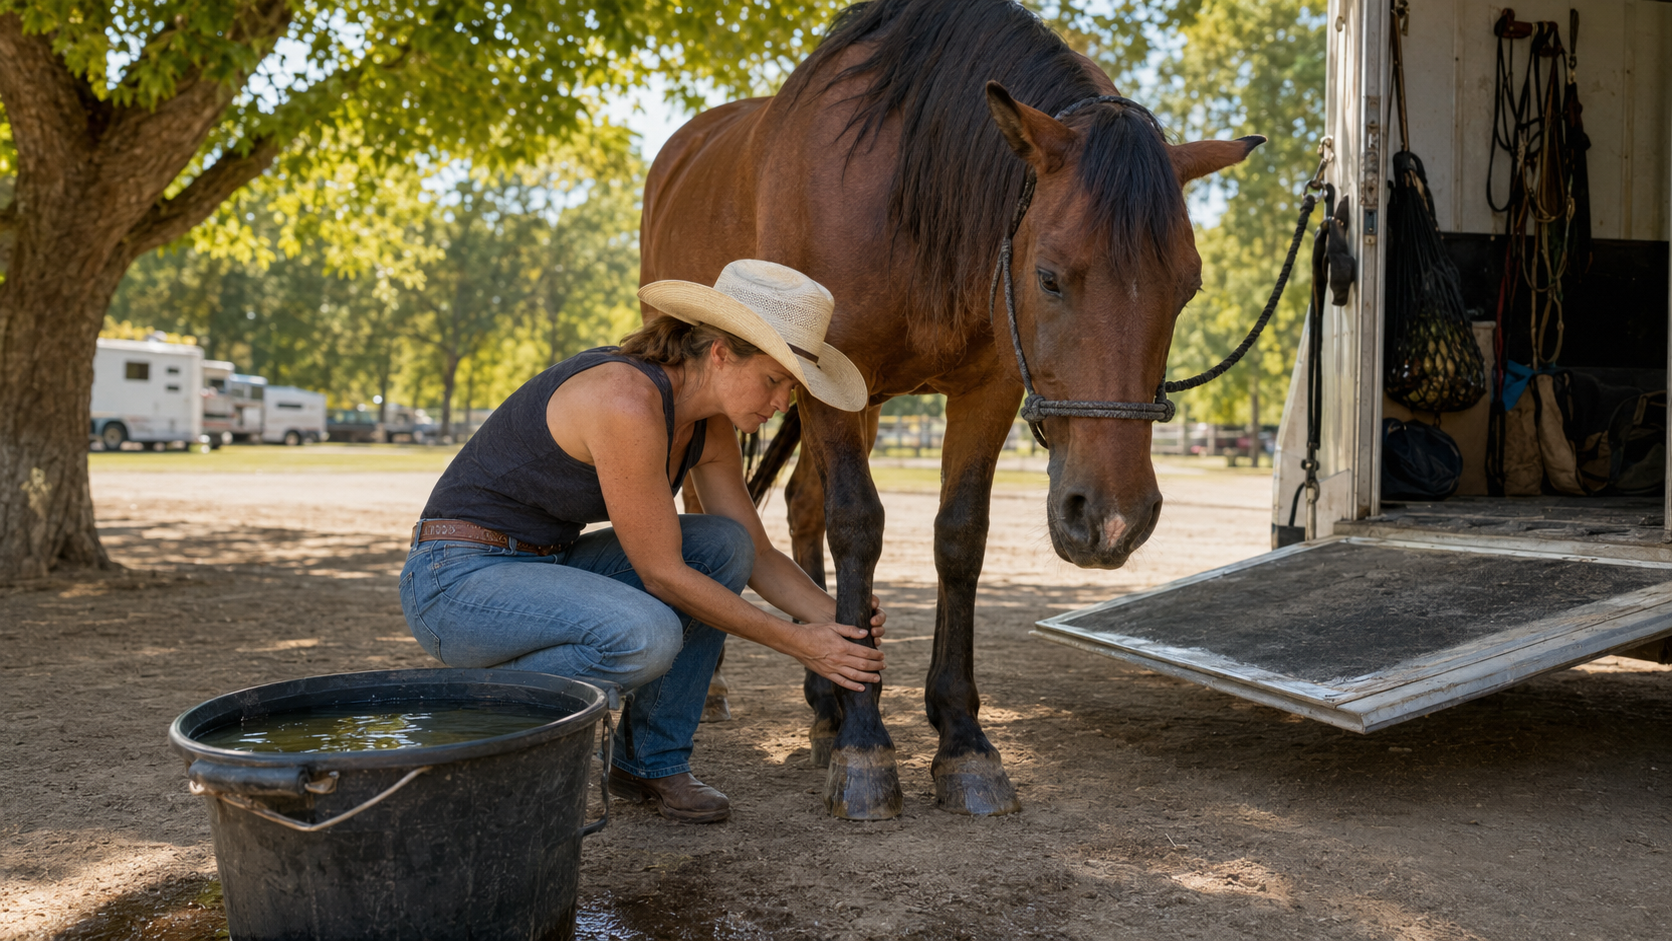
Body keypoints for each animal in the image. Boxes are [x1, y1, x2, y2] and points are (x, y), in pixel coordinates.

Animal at [641, 0, 1262, 820]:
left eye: (1187, 287)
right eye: (1049, 276)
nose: (1112, 518)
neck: (908, 185)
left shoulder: (986, 390)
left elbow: (960, 537)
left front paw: (961, 739)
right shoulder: (827, 381)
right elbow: (858, 525)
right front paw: (867, 743)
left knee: (802, 506)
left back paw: (822, 706)